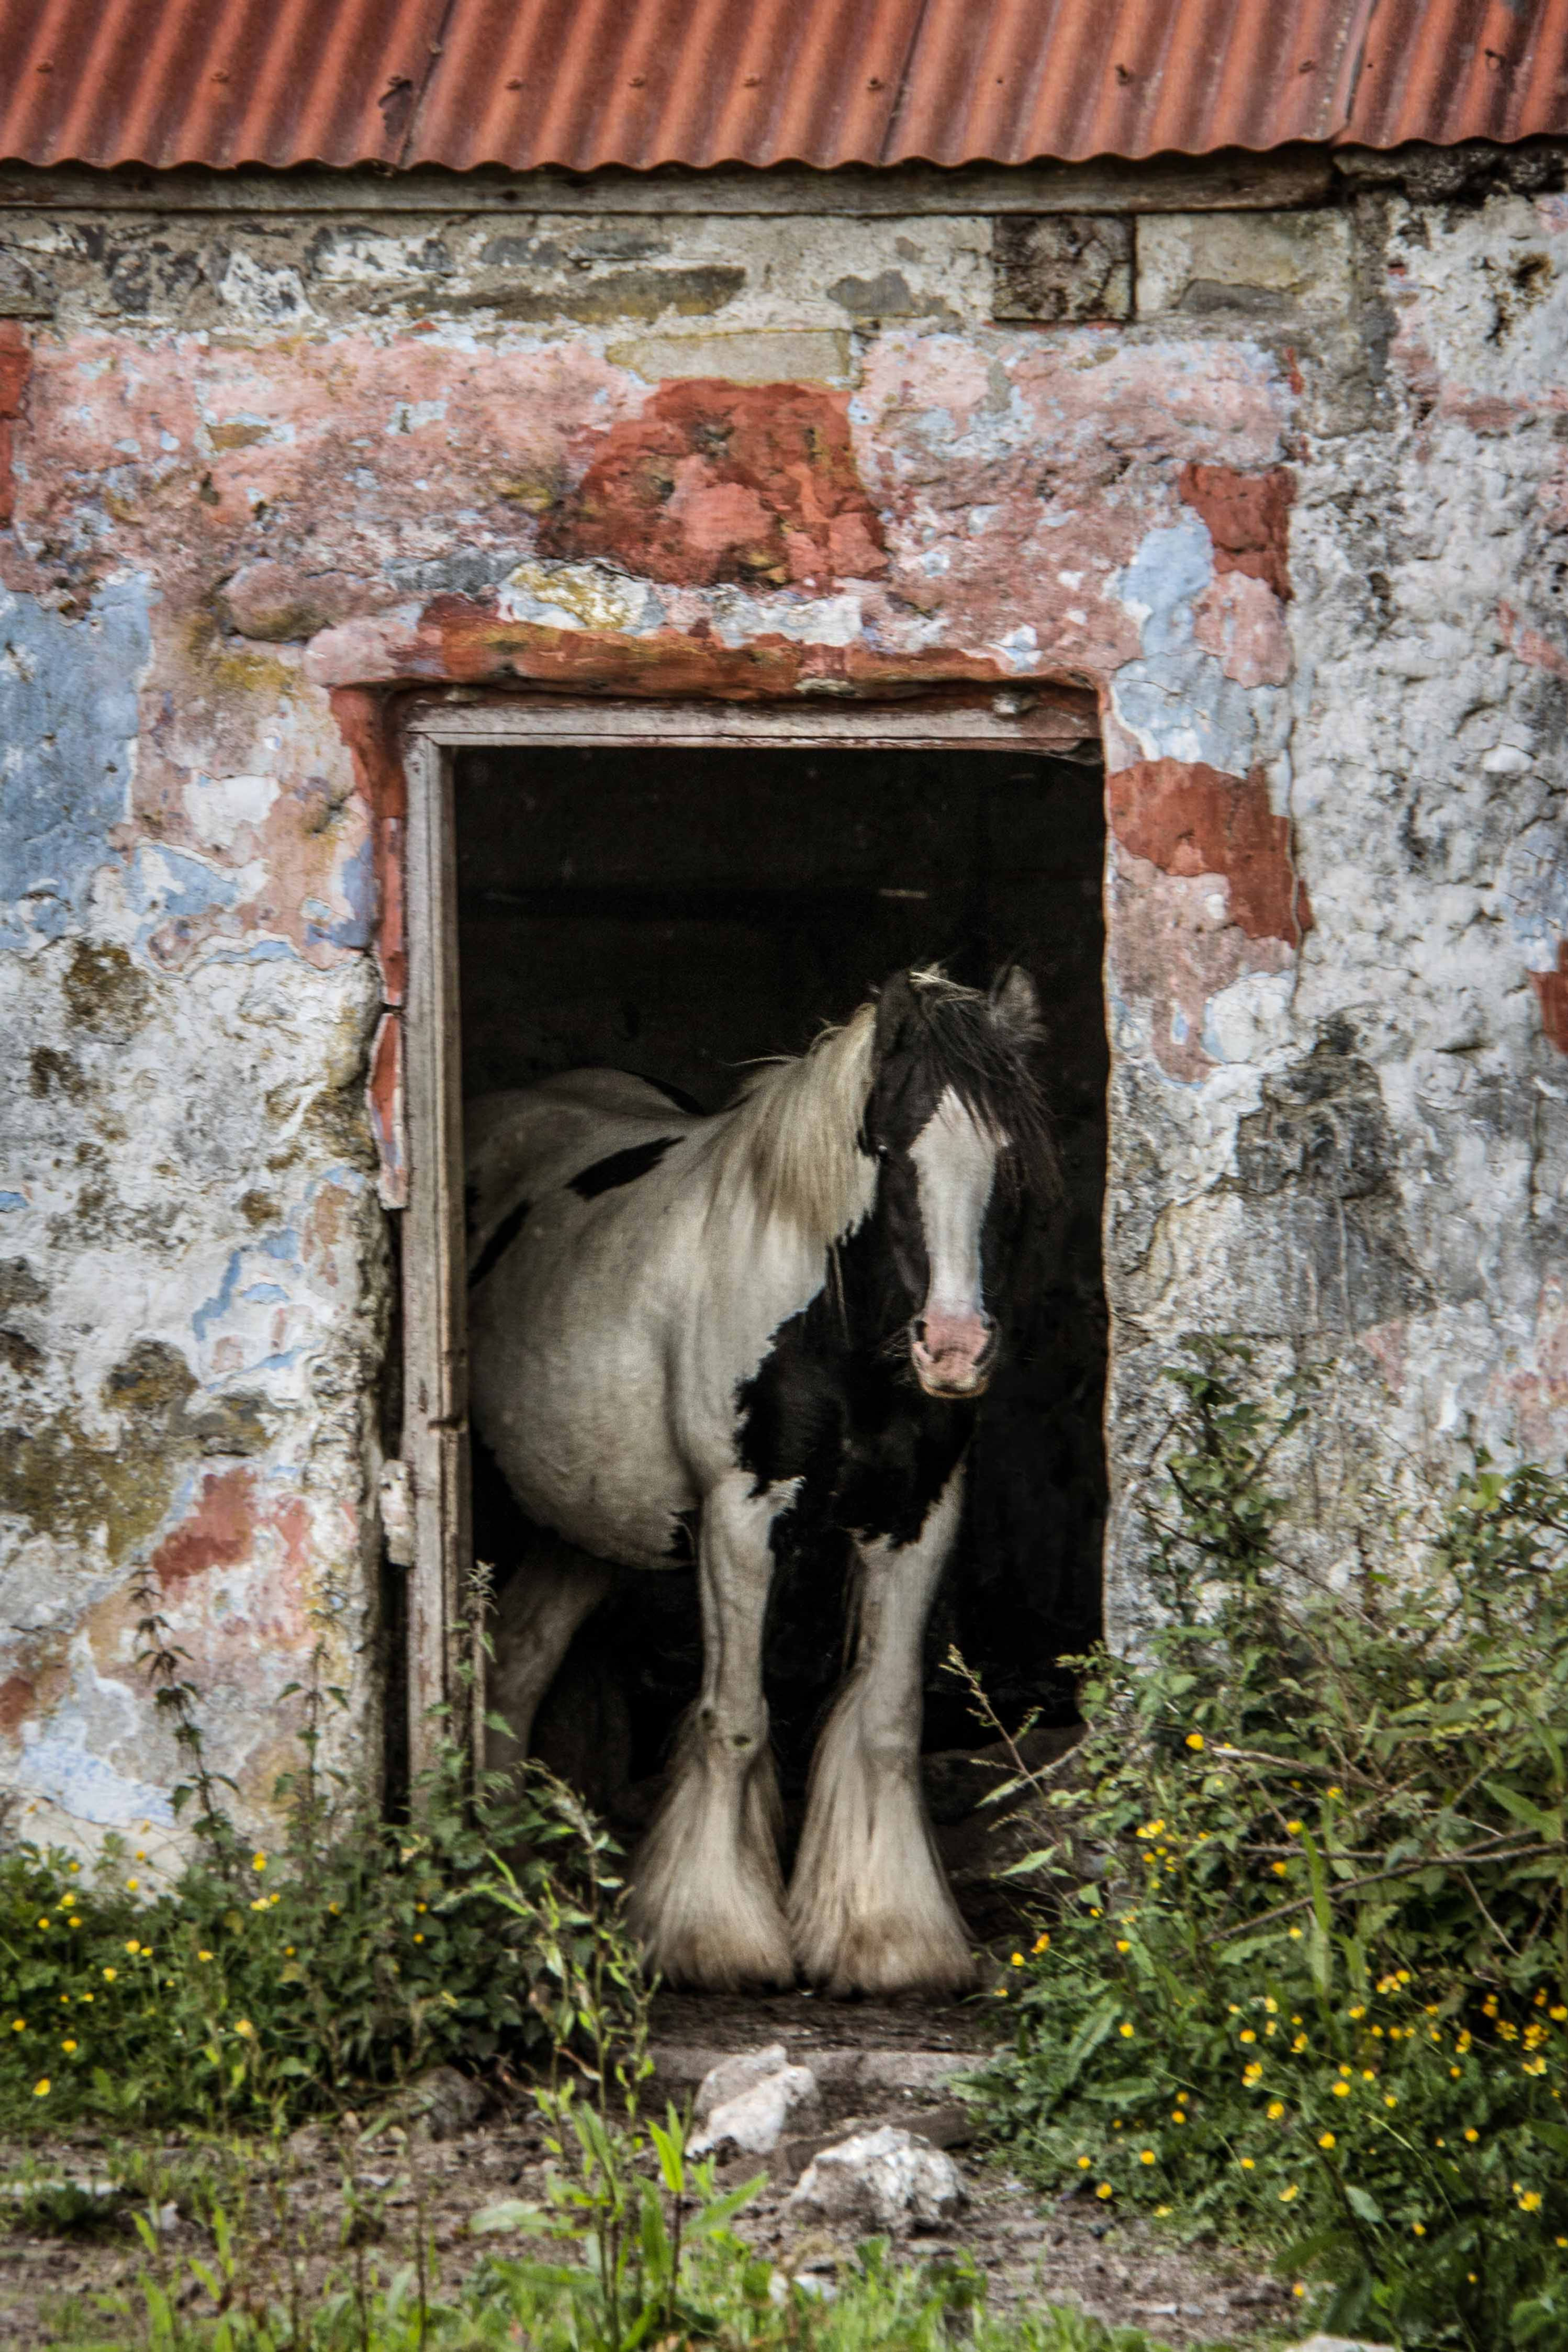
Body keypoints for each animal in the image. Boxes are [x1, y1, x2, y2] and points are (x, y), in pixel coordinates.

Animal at [465, 965, 1055, 1997]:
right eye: (890, 1150)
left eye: (1011, 1158)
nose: (952, 1349)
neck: (832, 1329)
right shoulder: (741, 1519)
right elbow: (735, 1719)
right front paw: (714, 1936)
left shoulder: (917, 1517)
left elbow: (888, 1720)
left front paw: (888, 1936)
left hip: (587, 1526)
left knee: (523, 1659)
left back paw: (519, 1863)